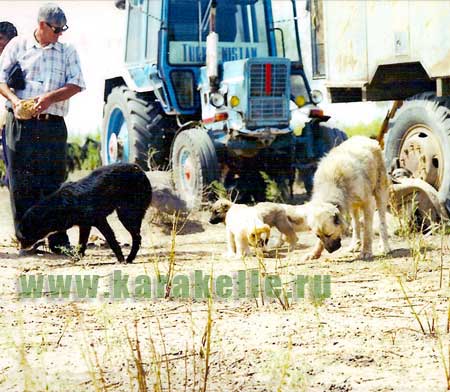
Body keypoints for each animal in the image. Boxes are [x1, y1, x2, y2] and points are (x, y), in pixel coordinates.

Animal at [16, 162, 152, 264]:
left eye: (23, 237)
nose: (20, 249)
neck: (62, 206)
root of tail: (139, 170)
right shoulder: (85, 225)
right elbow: (81, 244)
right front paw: (76, 258)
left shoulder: (99, 220)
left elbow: (111, 240)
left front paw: (120, 259)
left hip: (127, 215)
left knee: (137, 238)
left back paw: (129, 259)